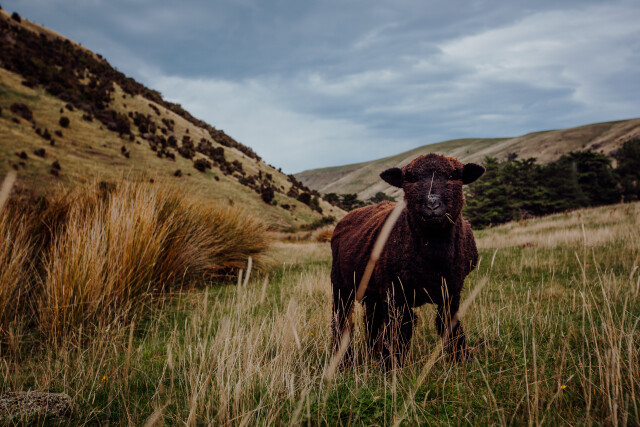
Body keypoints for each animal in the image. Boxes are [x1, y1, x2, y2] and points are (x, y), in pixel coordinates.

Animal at [330, 153, 485, 369]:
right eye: (410, 178)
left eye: (454, 176)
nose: (432, 205)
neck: (433, 255)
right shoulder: (395, 294)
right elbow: (400, 330)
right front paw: (393, 367)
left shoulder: (451, 291)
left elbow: (449, 324)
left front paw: (460, 359)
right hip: (341, 284)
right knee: (341, 320)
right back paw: (344, 361)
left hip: (372, 291)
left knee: (371, 321)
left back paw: (372, 354)